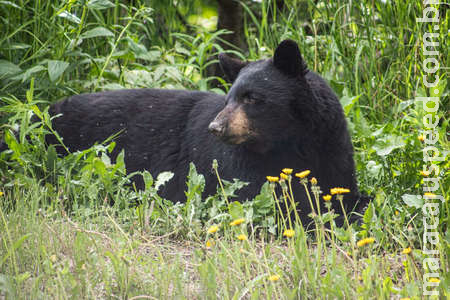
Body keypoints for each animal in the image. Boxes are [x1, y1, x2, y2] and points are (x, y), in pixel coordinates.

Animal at [1, 39, 368, 223]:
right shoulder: (234, 168)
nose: (216, 127)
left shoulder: (332, 147)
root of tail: (36, 118)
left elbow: (343, 191)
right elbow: (265, 200)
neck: (291, 143)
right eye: (230, 96)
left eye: (252, 98)